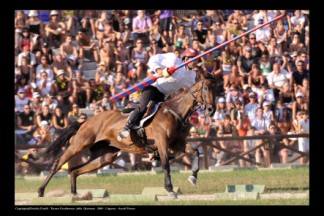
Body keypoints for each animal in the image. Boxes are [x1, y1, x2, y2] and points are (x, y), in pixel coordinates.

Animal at [36, 78, 216, 198]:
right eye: (206, 89)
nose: (211, 109)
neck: (174, 111)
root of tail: (85, 121)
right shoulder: (162, 144)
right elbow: (166, 165)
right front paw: (170, 189)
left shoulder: (178, 145)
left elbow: (196, 152)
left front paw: (193, 177)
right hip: (79, 145)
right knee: (58, 164)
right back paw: (41, 190)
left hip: (105, 156)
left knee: (75, 170)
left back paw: (75, 194)